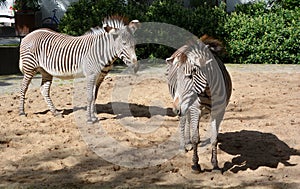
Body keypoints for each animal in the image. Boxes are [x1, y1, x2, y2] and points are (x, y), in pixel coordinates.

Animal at [166, 35, 232, 173]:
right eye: (177, 78)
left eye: (191, 75)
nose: (175, 109)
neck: (207, 91)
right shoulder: (195, 109)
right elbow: (195, 138)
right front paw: (196, 164)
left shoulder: (219, 111)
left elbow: (214, 138)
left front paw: (215, 165)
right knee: (183, 121)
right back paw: (183, 146)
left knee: (188, 120)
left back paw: (188, 142)